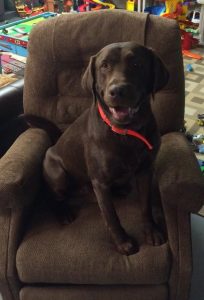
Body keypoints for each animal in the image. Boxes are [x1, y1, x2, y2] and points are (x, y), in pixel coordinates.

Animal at [30, 41, 168, 255]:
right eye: (104, 66)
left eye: (137, 64)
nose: (117, 91)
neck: (125, 133)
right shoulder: (100, 183)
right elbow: (111, 216)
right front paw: (123, 242)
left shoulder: (146, 171)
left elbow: (145, 205)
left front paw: (151, 231)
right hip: (58, 174)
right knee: (54, 197)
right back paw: (63, 213)